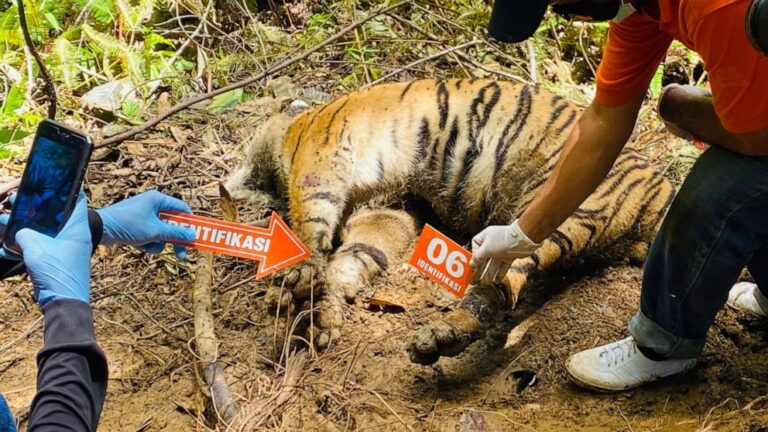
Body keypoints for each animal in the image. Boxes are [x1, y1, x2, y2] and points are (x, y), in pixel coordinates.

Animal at [225, 79, 674, 365]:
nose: (231, 181)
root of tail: (664, 188)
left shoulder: (322, 158)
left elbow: (310, 225)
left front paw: (296, 283)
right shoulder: (388, 213)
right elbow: (353, 257)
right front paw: (321, 313)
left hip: (558, 209)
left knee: (501, 286)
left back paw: (441, 337)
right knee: (507, 289)